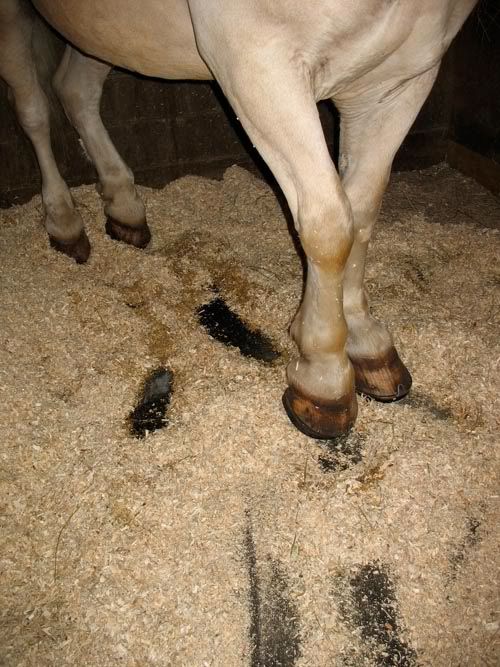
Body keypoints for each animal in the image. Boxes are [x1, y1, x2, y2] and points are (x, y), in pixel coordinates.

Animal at [0, 0, 478, 439]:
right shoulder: (258, 60)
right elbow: (330, 225)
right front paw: (322, 377)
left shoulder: (400, 78)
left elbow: (362, 210)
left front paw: (363, 340)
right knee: (34, 109)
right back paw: (64, 221)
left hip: (103, 32)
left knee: (74, 91)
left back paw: (124, 208)